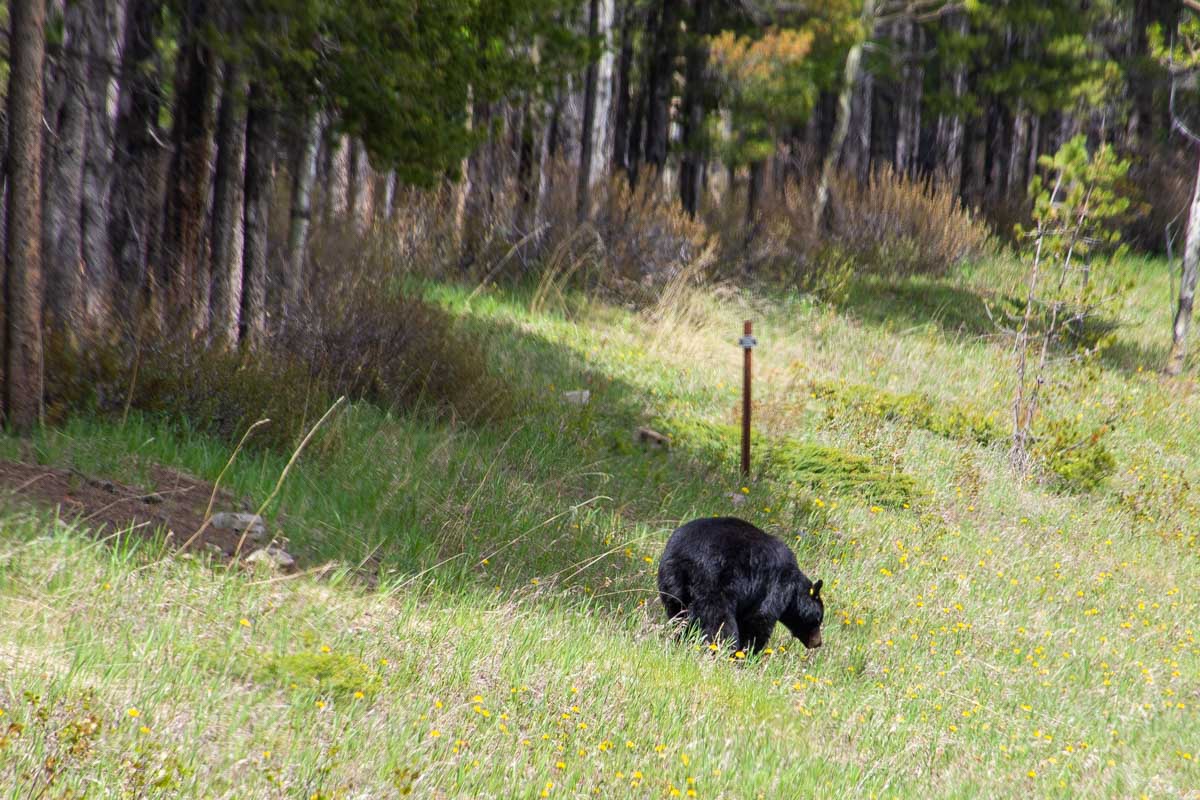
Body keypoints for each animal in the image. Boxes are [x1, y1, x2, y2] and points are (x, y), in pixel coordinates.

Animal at [657, 516, 824, 654]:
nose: (818, 643)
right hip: (714, 581)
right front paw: (748, 652)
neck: (793, 590)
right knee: (718, 620)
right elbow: (760, 617)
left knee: (678, 612)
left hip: (672, 581)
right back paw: (722, 648)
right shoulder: (776, 585)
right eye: (818, 619)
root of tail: (685, 556)